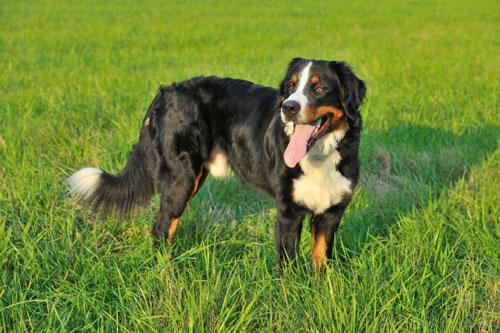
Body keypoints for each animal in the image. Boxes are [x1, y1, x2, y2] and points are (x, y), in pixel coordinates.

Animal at [66, 57, 366, 272]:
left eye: (319, 88)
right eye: (291, 87)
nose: (288, 107)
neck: (320, 156)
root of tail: (165, 93)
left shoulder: (330, 213)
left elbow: (321, 263)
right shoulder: (288, 213)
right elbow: (289, 268)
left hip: (192, 179)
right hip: (181, 179)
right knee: (161, 228)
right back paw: (167, 273)